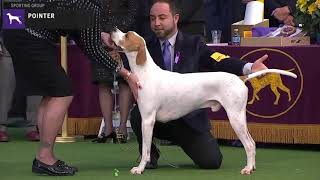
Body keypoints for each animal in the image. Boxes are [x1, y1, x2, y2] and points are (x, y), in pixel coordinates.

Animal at [110, 28, 298, 175]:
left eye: (126, 35)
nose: (112, 30)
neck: (146, 73)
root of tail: (240, 78)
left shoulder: (148, 120)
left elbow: (146, 149)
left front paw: (140, 168)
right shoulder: (146, 119)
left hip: (235, 118)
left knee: (250, 145)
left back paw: (247, 169)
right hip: (240, 117)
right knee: (252, 143)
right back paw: (252, 167)